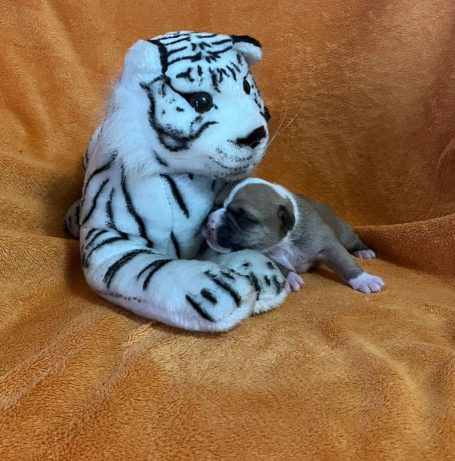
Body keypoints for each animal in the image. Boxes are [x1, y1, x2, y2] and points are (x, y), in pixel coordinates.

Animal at [202, 178, 384, 292]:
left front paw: (364, 279)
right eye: (215, 205)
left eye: (243, 218)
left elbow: (344, 262)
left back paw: (363, 250)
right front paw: (290, 277)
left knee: (352, 241)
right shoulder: (266, 255)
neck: (282, 242)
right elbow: (278, 265)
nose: (209, 222)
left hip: (343, 231)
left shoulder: (328, 245)